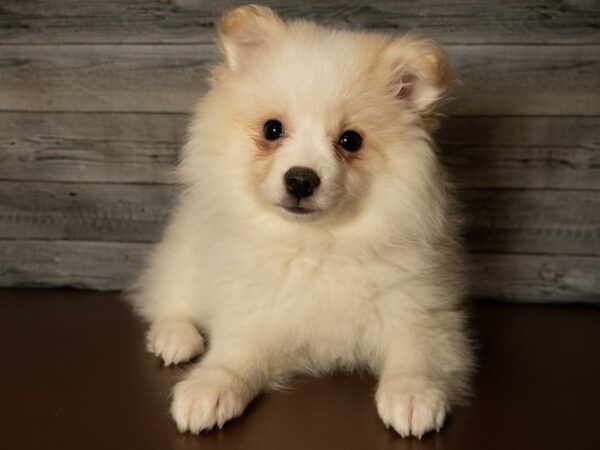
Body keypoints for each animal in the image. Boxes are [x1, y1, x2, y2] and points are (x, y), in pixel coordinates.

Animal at [130, 4, 474, 440]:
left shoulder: (420, 309)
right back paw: (175, 336)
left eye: (350, 140)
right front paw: (208, 389)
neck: (316, 244)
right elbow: (233, 357)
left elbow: (418, 354)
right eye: (272, 129)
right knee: (169, 295)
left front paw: (412, 395)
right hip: (186, 253)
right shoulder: (255, 310)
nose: (300, 179)